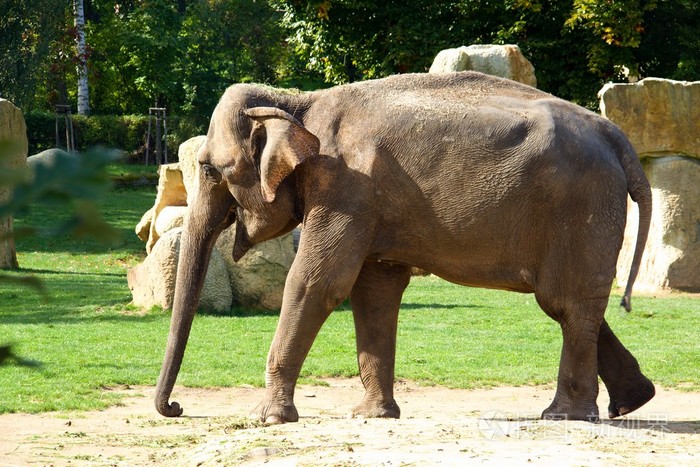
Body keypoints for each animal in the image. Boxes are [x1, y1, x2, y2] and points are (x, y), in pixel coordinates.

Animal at [155, 71, 654, 423]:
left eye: (209, 170)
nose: (177, 409)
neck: (298, 102)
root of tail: (617, 137)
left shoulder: (345, 187)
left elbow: (317, 282)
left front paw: (267, 419)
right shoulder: (367, 202)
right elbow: (374, 291)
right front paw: (372, 416)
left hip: (582, 208)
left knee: (565, 303)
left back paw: (564, 415)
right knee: (572, 304)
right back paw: (630, 403)